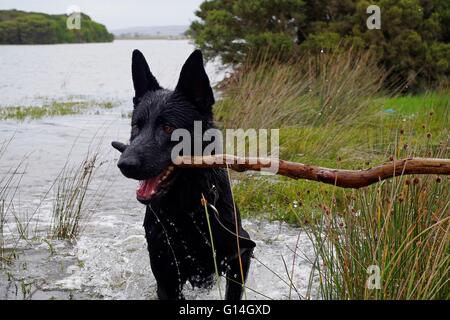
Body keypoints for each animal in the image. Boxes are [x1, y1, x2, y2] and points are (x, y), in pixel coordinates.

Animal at [111, 50, 255, 300]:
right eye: (136, 126)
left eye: (168, 128)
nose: (125, 164)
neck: (185, 209)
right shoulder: (166, 278)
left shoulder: (239, 255)